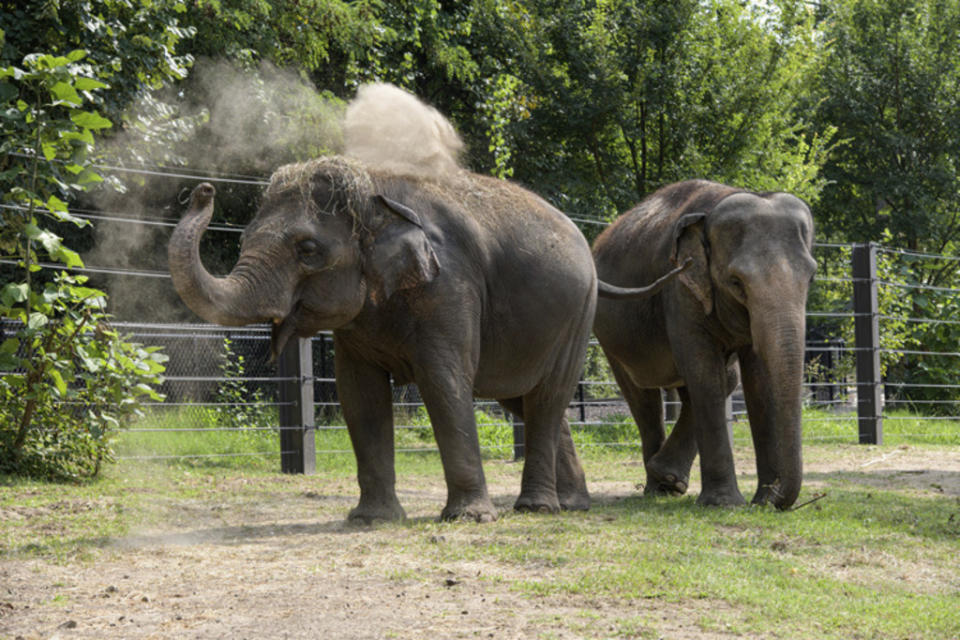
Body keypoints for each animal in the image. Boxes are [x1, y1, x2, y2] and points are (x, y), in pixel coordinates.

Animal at [592, 179, 816, 510]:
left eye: (811, 277)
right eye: (736, 282)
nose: (775, 495)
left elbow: (758, 380)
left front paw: (761, 499)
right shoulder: (681, 284)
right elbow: (704, 372)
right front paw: (725, 503)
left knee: (717, 382)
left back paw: (669, 481)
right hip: (611, 333)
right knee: (642, 396)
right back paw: (658, 485)